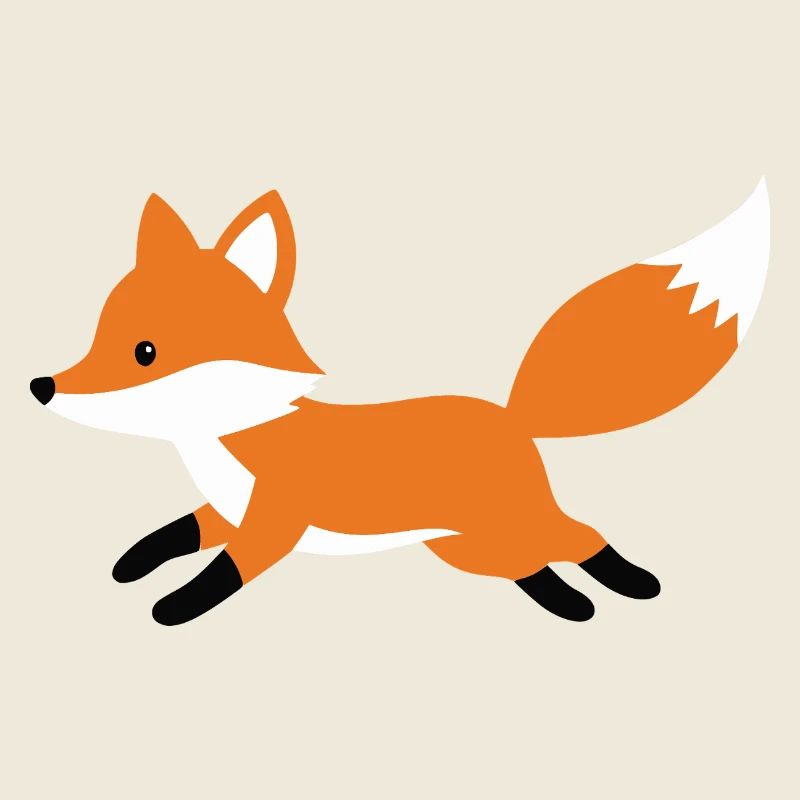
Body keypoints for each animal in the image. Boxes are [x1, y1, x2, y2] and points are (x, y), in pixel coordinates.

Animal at [30, 180, 770, 625]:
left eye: (145, 350)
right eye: (98, 335)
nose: (43, 387)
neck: (232, 438)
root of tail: (511, 414)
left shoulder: (273, 523)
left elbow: (223, 573)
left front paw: (173, 608)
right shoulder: (229, 511)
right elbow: (175, 532)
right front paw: (131, 565)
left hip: (504, 524)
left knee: (579, 535)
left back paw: (631, 582)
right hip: (466, 547)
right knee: (534, 564)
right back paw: (571, 606)